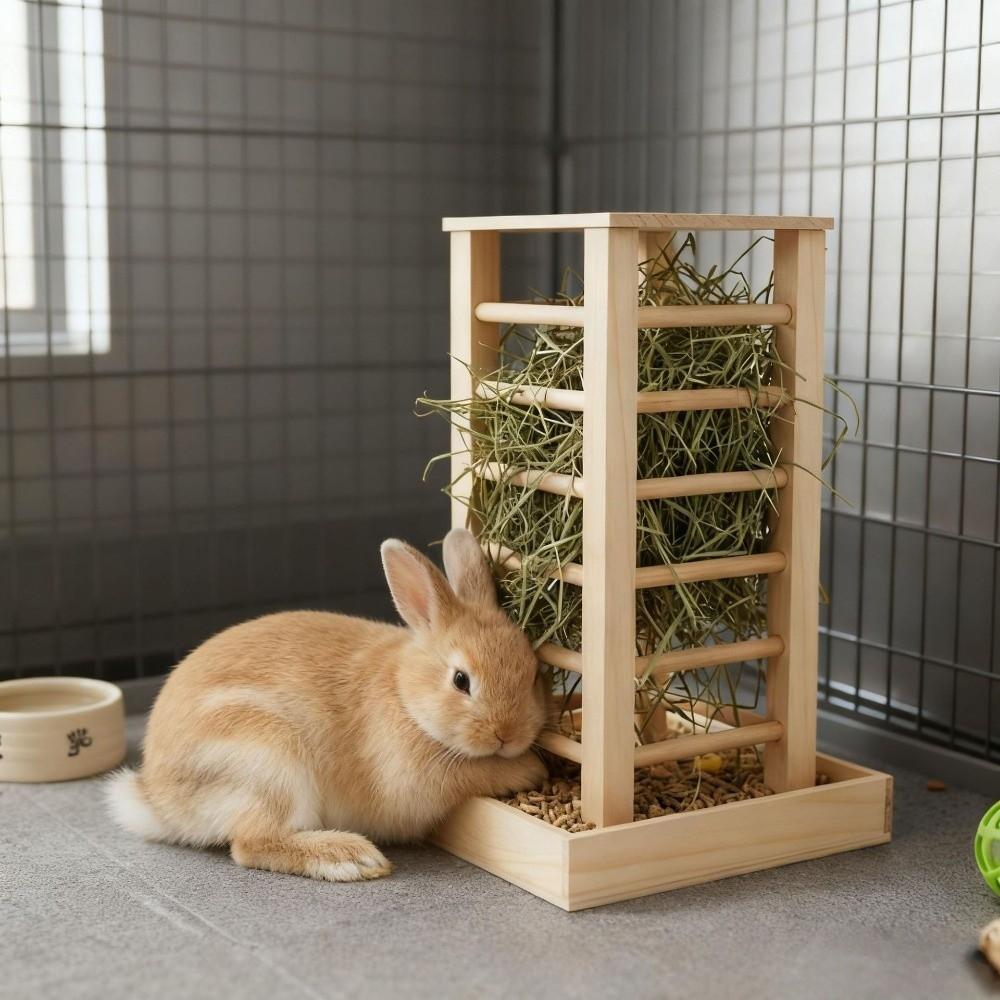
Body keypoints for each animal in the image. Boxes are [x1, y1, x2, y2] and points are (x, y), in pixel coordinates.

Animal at [105, 528, 548, 882]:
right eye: (461, 681)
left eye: (533, 673)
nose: (509, 736)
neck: (405, 695)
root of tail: (157, 800)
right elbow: (479, 771)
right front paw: (531, 769)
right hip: (266, 762)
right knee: (251, 843)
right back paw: (351, 858)